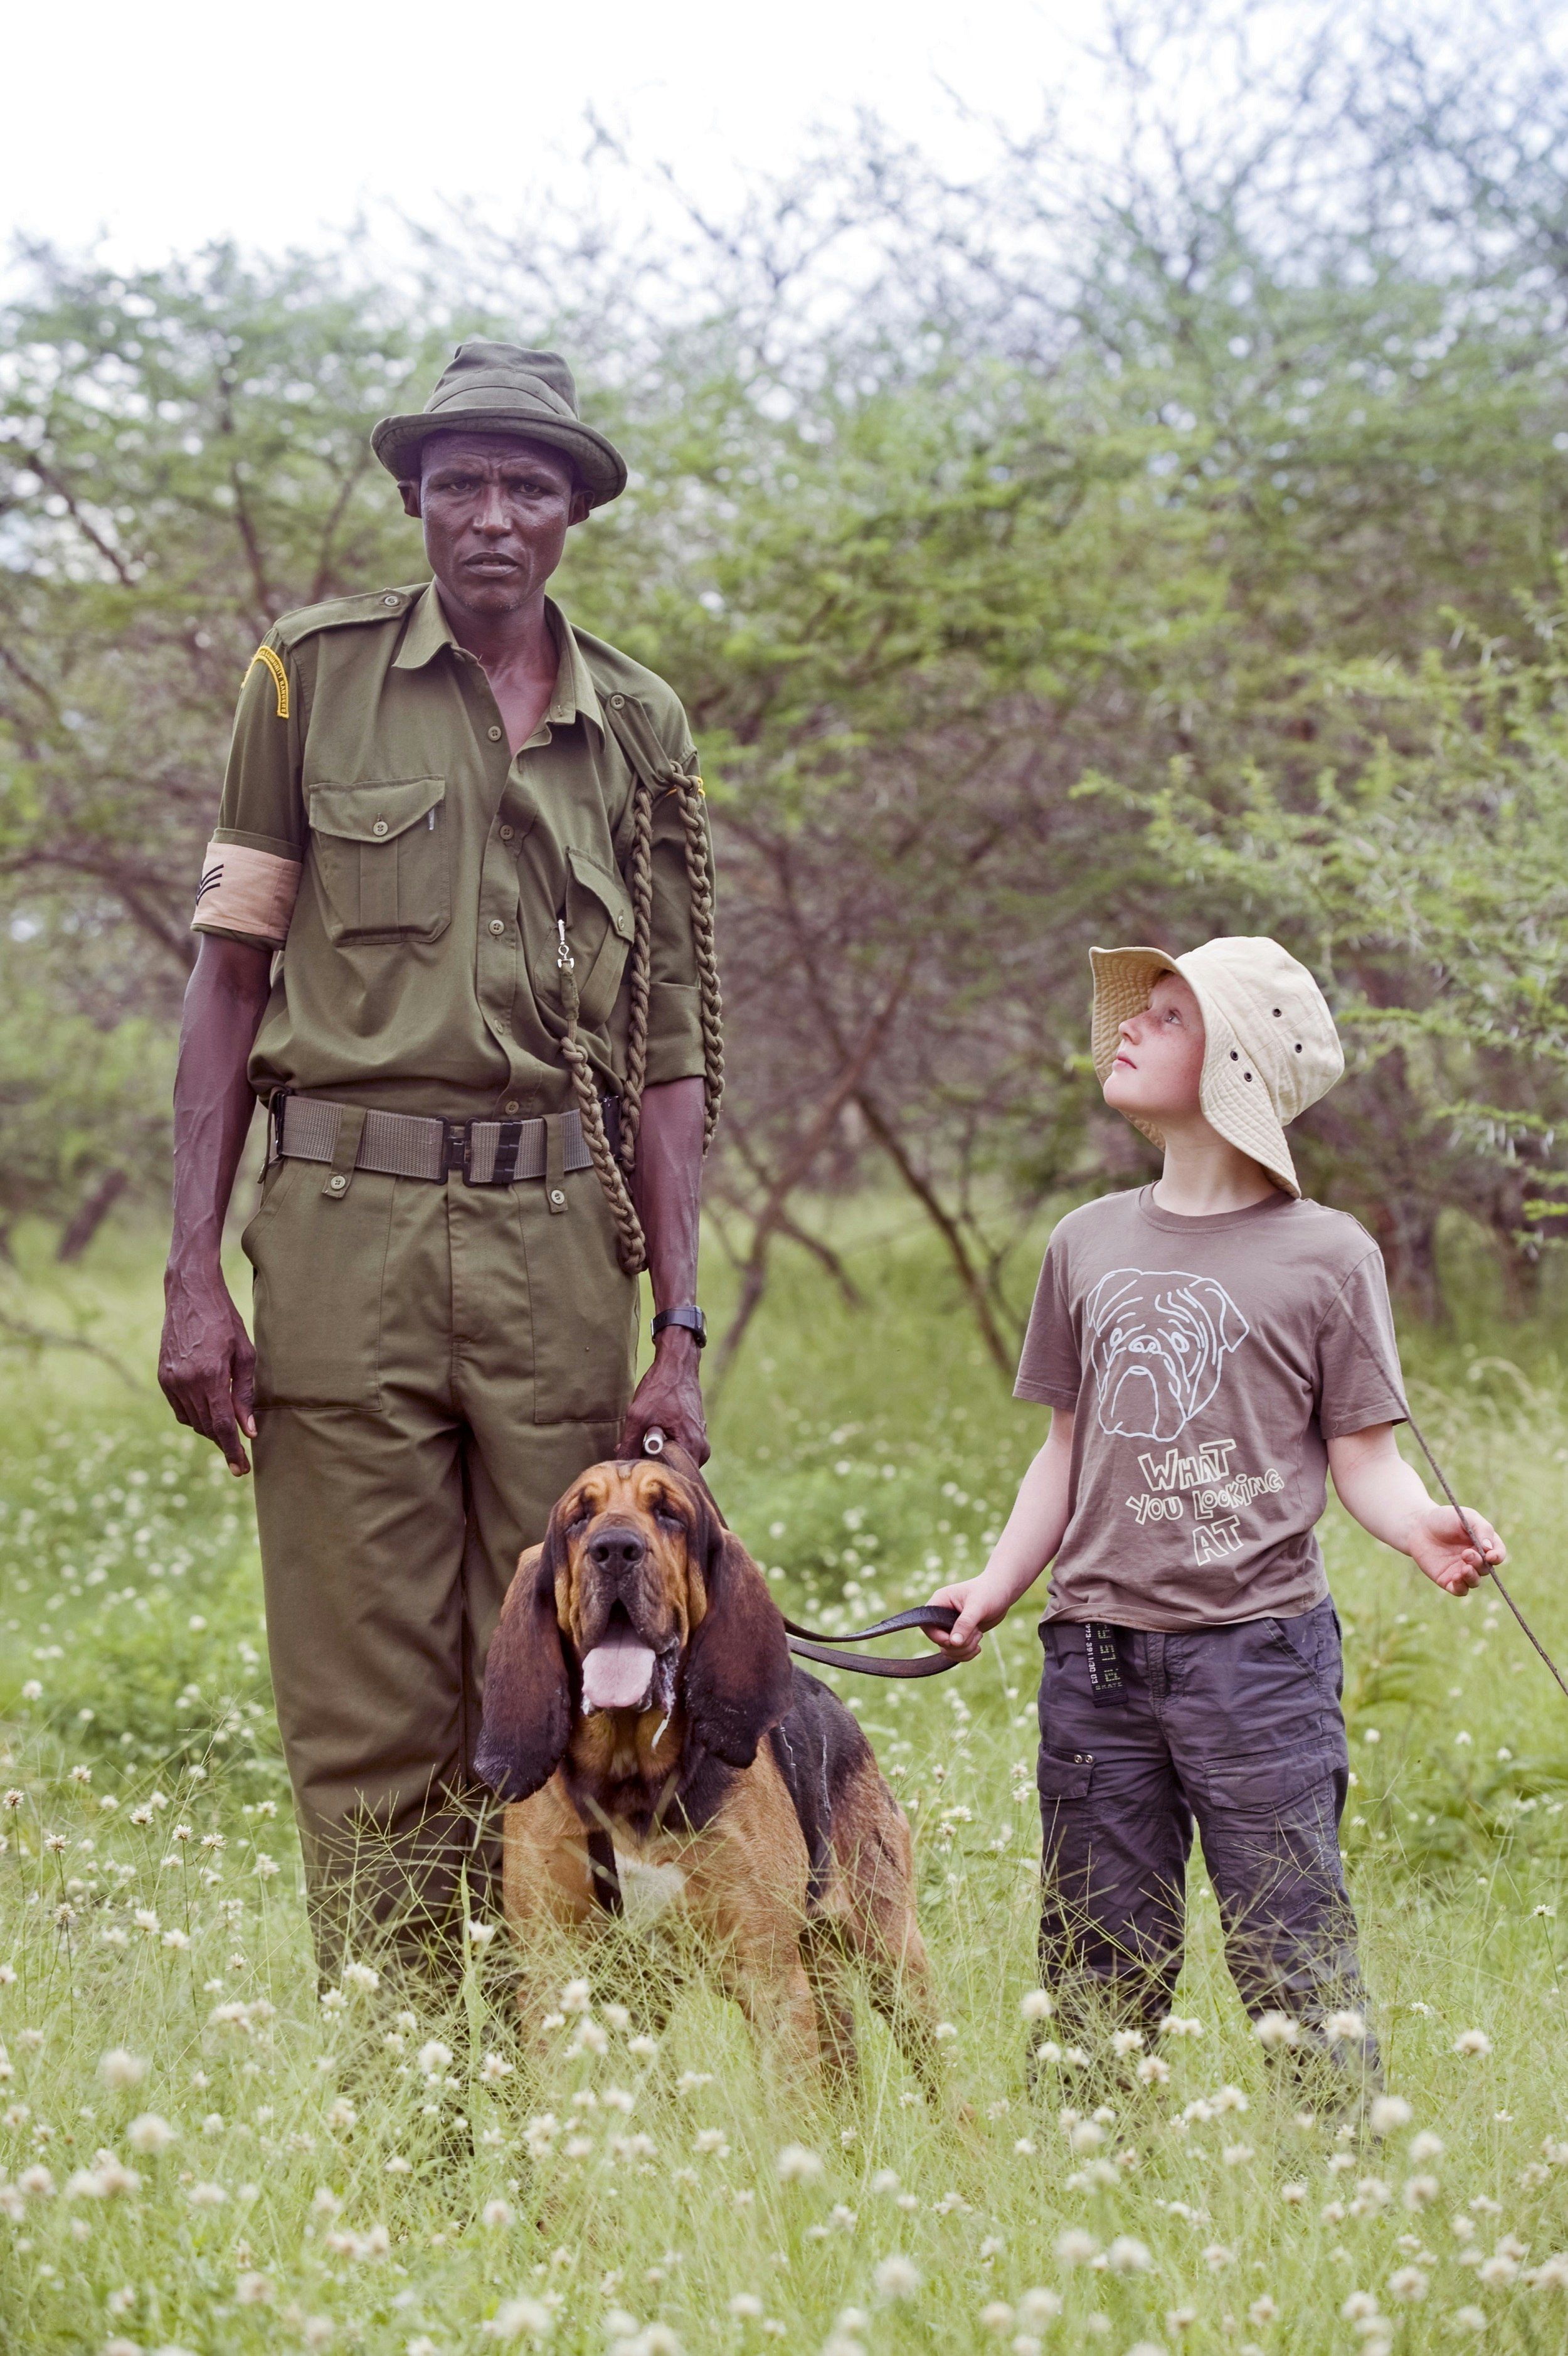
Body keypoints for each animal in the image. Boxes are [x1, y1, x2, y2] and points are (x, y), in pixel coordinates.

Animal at [475, 1441, 932, 2092]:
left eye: (669, 1513)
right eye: (577, 1519)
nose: (614, 1550)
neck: (629, 1780)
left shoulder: (770, 1982)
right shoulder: (551, 1978)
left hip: (891, 1959)